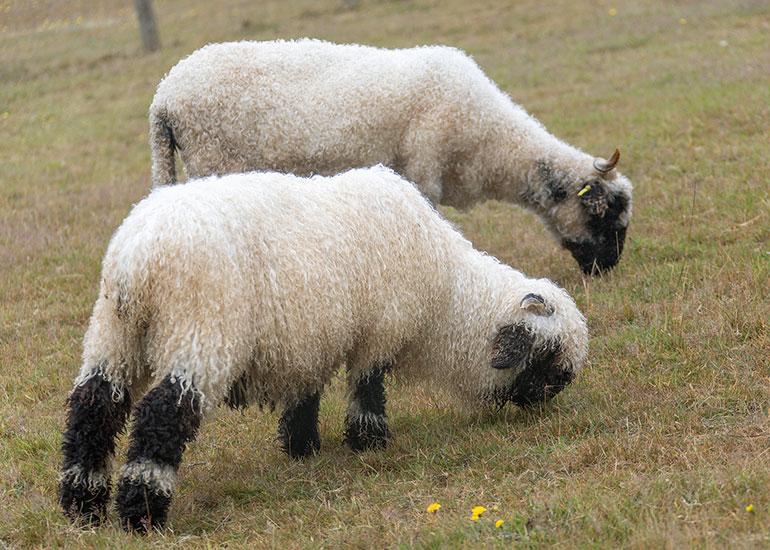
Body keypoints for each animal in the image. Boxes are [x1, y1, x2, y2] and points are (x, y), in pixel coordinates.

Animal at [59, 166, 588, 532]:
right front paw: (369, 443)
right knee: (160, 414)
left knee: (94, 405)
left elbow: (304, 395)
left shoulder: (308, 338)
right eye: (549, 365)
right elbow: (368, 389)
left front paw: (302, 449)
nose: (540, 409)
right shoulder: (380, 329)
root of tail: (136, 257)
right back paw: (141, 512)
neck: (445, 290)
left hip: (113, 335)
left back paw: (82, 506)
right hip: (201, 332)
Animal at [149, 38, 633, 275]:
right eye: (605, 215)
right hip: (212, 158)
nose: (606, 270)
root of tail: (164, 97)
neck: (488, 143)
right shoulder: (424, 169)